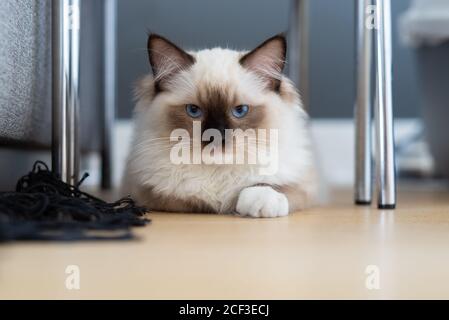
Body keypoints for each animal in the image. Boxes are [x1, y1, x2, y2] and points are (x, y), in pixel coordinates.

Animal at [121, 33, 318, 218]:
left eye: (240, 110)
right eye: (193, 110)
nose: (216, 137)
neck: (218, 172)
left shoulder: (304, 187)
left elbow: (270, 183)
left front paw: (263, 202)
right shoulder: (154, 193)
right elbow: (188, 194)